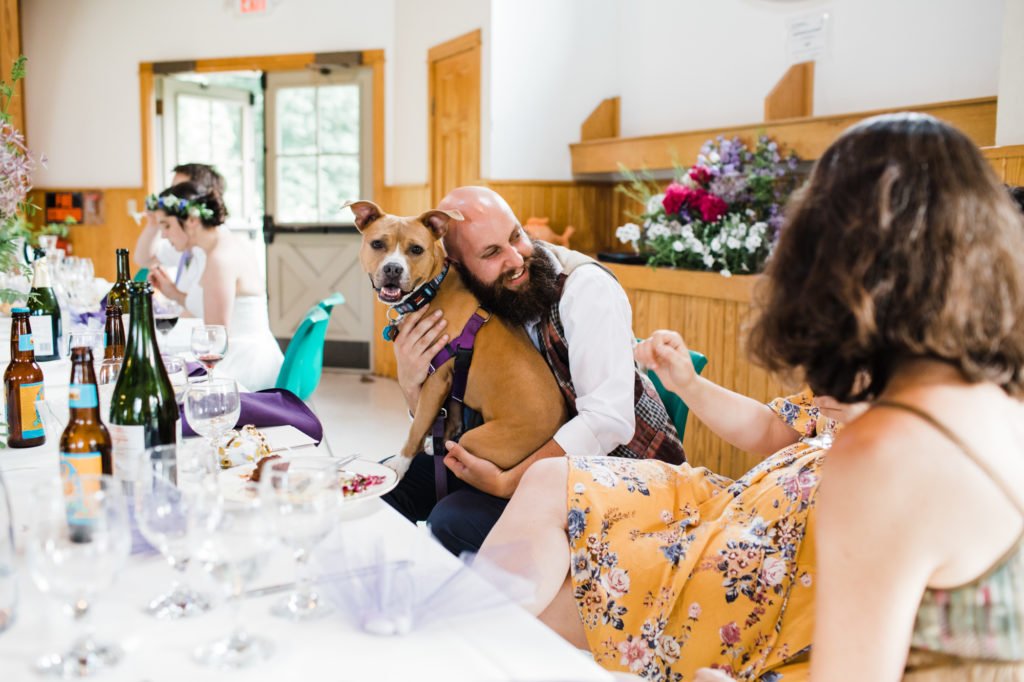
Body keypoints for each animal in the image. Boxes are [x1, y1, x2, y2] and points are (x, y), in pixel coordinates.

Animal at [346, 199, 569, 481]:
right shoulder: (450, 381)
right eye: (377, 244)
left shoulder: (436, 377)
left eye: (416, 249)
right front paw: (438, 440)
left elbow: (418, 425)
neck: (431, 290)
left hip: (483, 441)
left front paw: (401, 463)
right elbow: (449, 413)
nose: (393, 268)